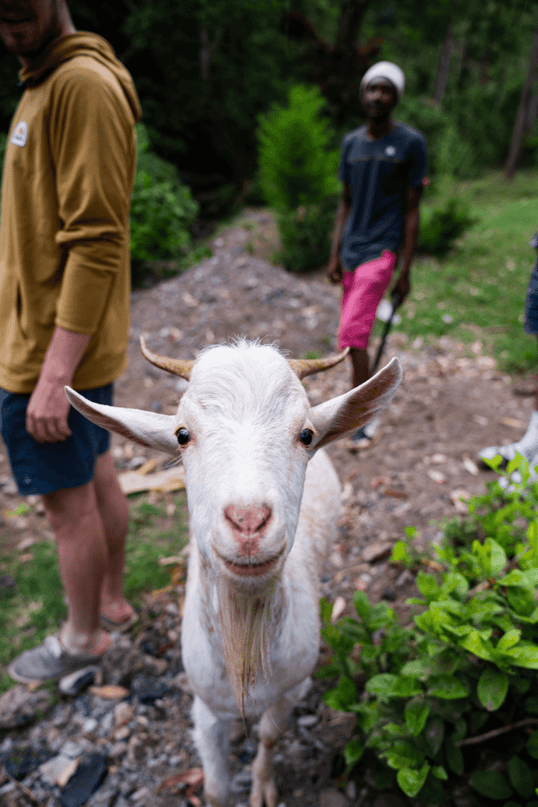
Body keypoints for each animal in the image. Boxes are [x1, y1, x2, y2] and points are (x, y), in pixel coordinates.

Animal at [66, 339, 401, 807]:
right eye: (182, 435)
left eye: (306, 435)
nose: (248, 521)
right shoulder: (205, 705)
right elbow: (215, 787)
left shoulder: (291, 689)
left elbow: (270, 737)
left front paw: (262, 787)